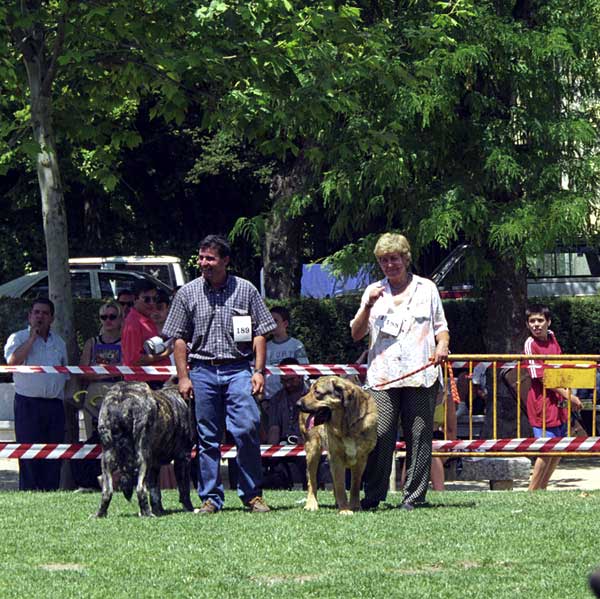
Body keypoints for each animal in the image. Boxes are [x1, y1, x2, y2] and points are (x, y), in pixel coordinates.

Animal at [95, 382, 195, 516]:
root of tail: (122, 396)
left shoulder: (155, 465)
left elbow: (155, 491)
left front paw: (159, 510)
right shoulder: (183, 458)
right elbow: (184, 489)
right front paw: (189, 508)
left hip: (107, 457)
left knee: (107, 491)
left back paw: (101, 514)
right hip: (143, 457)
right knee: (140, 489)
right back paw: (147, 513)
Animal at [298, 378, 378, 512]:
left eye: (317, 392)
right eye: (310, 390)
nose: (297, 404)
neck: (347, 424)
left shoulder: (361, 459)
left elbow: (355, 485)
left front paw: (355, 506)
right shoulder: (336, 457)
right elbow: (340, 484)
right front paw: (345, 509)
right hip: (312, 450)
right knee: (312, 481)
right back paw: (311, 504)